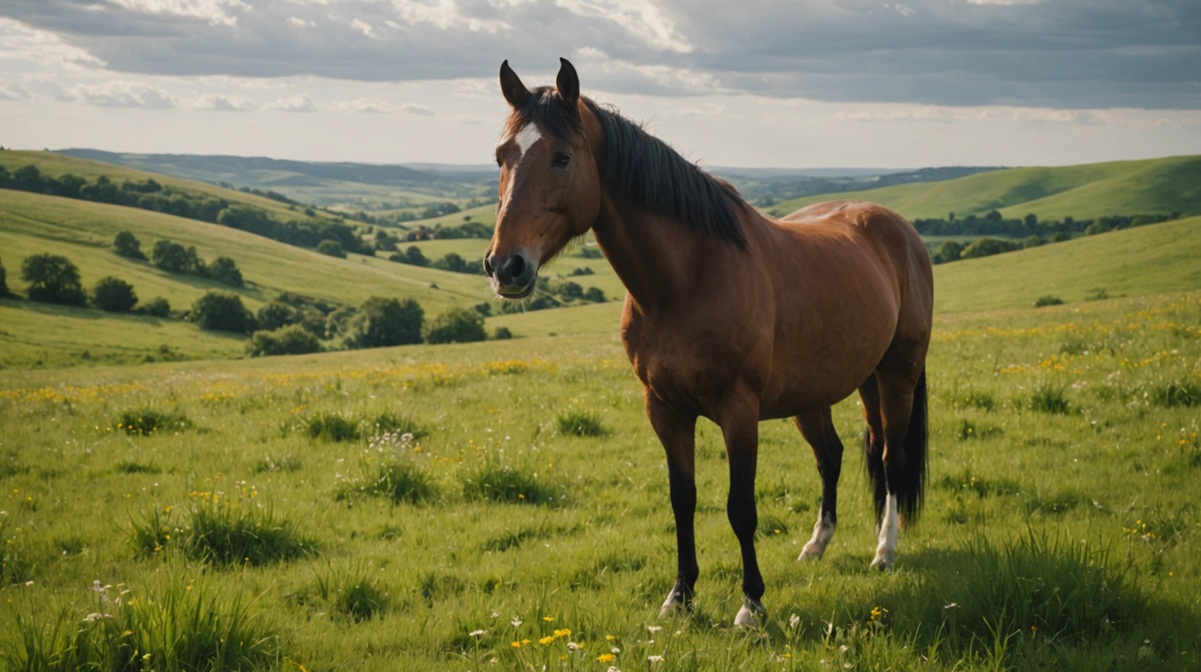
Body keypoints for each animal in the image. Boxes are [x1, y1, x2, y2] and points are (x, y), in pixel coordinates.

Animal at [484, 58, 933, 628]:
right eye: (502, 155)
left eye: (561, 157)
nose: (505, 266)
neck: (687, 278)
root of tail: (897, 227)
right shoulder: (665, 409)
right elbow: (683, 500)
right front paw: (680, 596)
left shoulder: (738, 411)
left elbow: (740, 507)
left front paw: (752, 605)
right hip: (824, 389)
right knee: (833, 456)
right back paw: (817, 545)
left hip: (898, 374)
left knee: (892, 457)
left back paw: (884, 550)